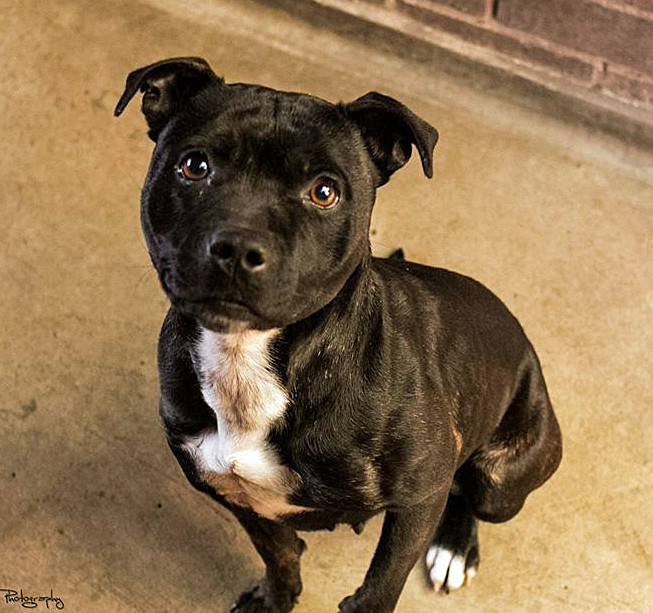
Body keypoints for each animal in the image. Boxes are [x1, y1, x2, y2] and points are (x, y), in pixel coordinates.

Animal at [115, 57, 562, 613]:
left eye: (325, 191)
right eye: (194, 166)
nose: (238, 246)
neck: (252, 357)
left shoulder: (421, 496)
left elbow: (379, 588)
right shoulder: (231, 490)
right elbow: (280, 551)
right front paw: (275, 597)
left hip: (502, 478)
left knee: (471, 494)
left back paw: (455, 548)